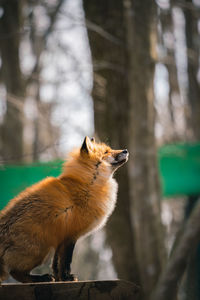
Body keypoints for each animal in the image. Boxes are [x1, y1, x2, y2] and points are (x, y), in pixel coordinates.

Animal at [0, 137, 128, 282]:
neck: (87, 185)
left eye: (110, 149)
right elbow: (66, 261)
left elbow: (56, 264)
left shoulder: (61, 238)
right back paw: (40, 278)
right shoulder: (70, 235)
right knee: (15, 272)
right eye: (107, 152)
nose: (126, 150)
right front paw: (67, 278)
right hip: (42, 250)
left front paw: (60, 278)